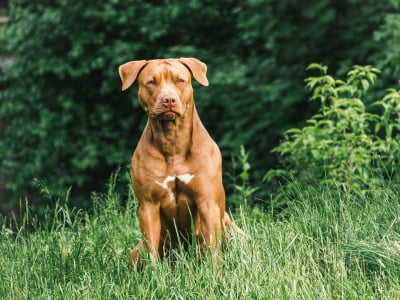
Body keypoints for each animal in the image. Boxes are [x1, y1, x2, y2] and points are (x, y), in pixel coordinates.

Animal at [117, 57, 239, 266]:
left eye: (180, 80)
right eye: (151, 82)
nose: (168, 99)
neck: (172, 141)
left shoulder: (207, 202)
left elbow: (212, 245)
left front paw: (215, 272)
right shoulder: (148, 206)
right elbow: (151, 251)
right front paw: (153, 274)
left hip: (232, 229)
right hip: (136, 252)